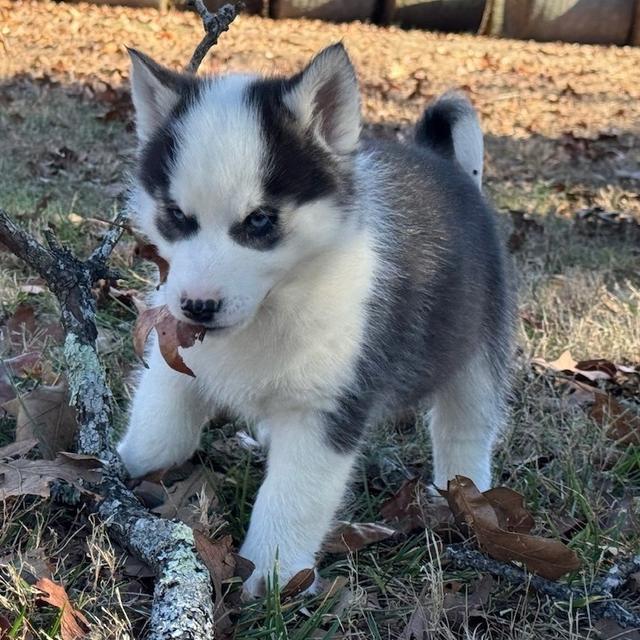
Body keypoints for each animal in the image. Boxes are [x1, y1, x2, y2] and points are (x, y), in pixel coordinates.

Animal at [116, 43, 516, 596]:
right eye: (177, 216)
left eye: (260, 221)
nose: (197, 306)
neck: (274, 308)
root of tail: (436, 159)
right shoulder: (177, 353)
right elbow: (158, 435)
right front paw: (111, 467)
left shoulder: (325, 412)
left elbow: (291, 500)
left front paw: (272, 578)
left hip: (476, 349)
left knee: (466, 428)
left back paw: (466, 497)